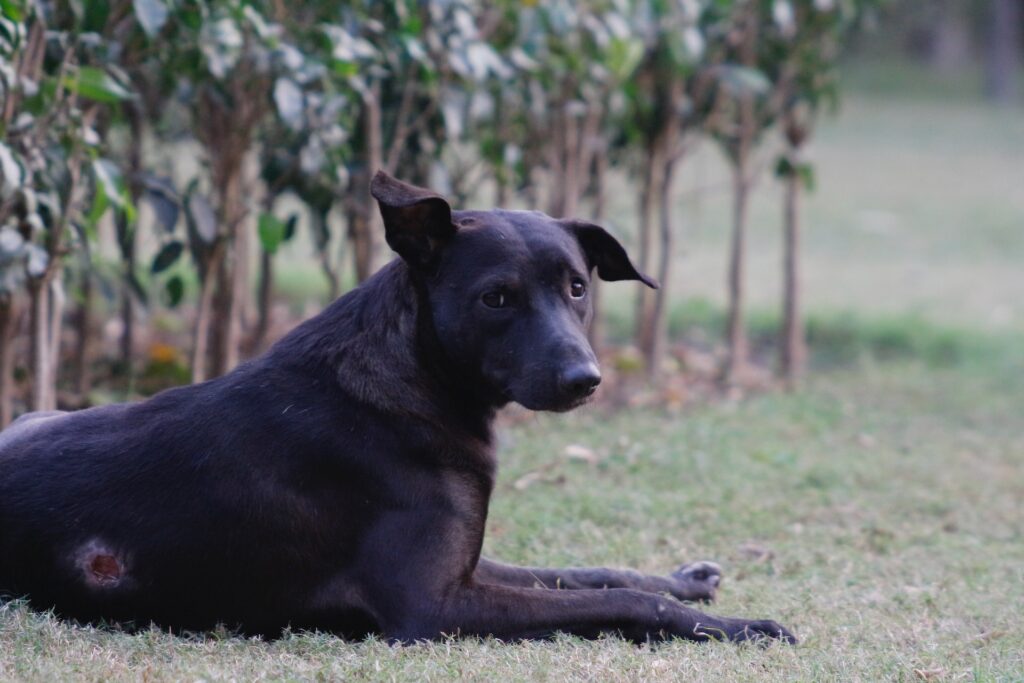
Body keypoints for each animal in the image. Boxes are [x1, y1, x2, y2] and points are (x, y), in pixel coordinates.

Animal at [0, 174, 790, 643]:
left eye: (576, 286)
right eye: (496, 297)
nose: (586, 379)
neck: (410, 386)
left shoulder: (467, 566)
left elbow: (592, 573)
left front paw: (688, 581)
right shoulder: (433, 606)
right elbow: (619, 602)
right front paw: (743, 625)